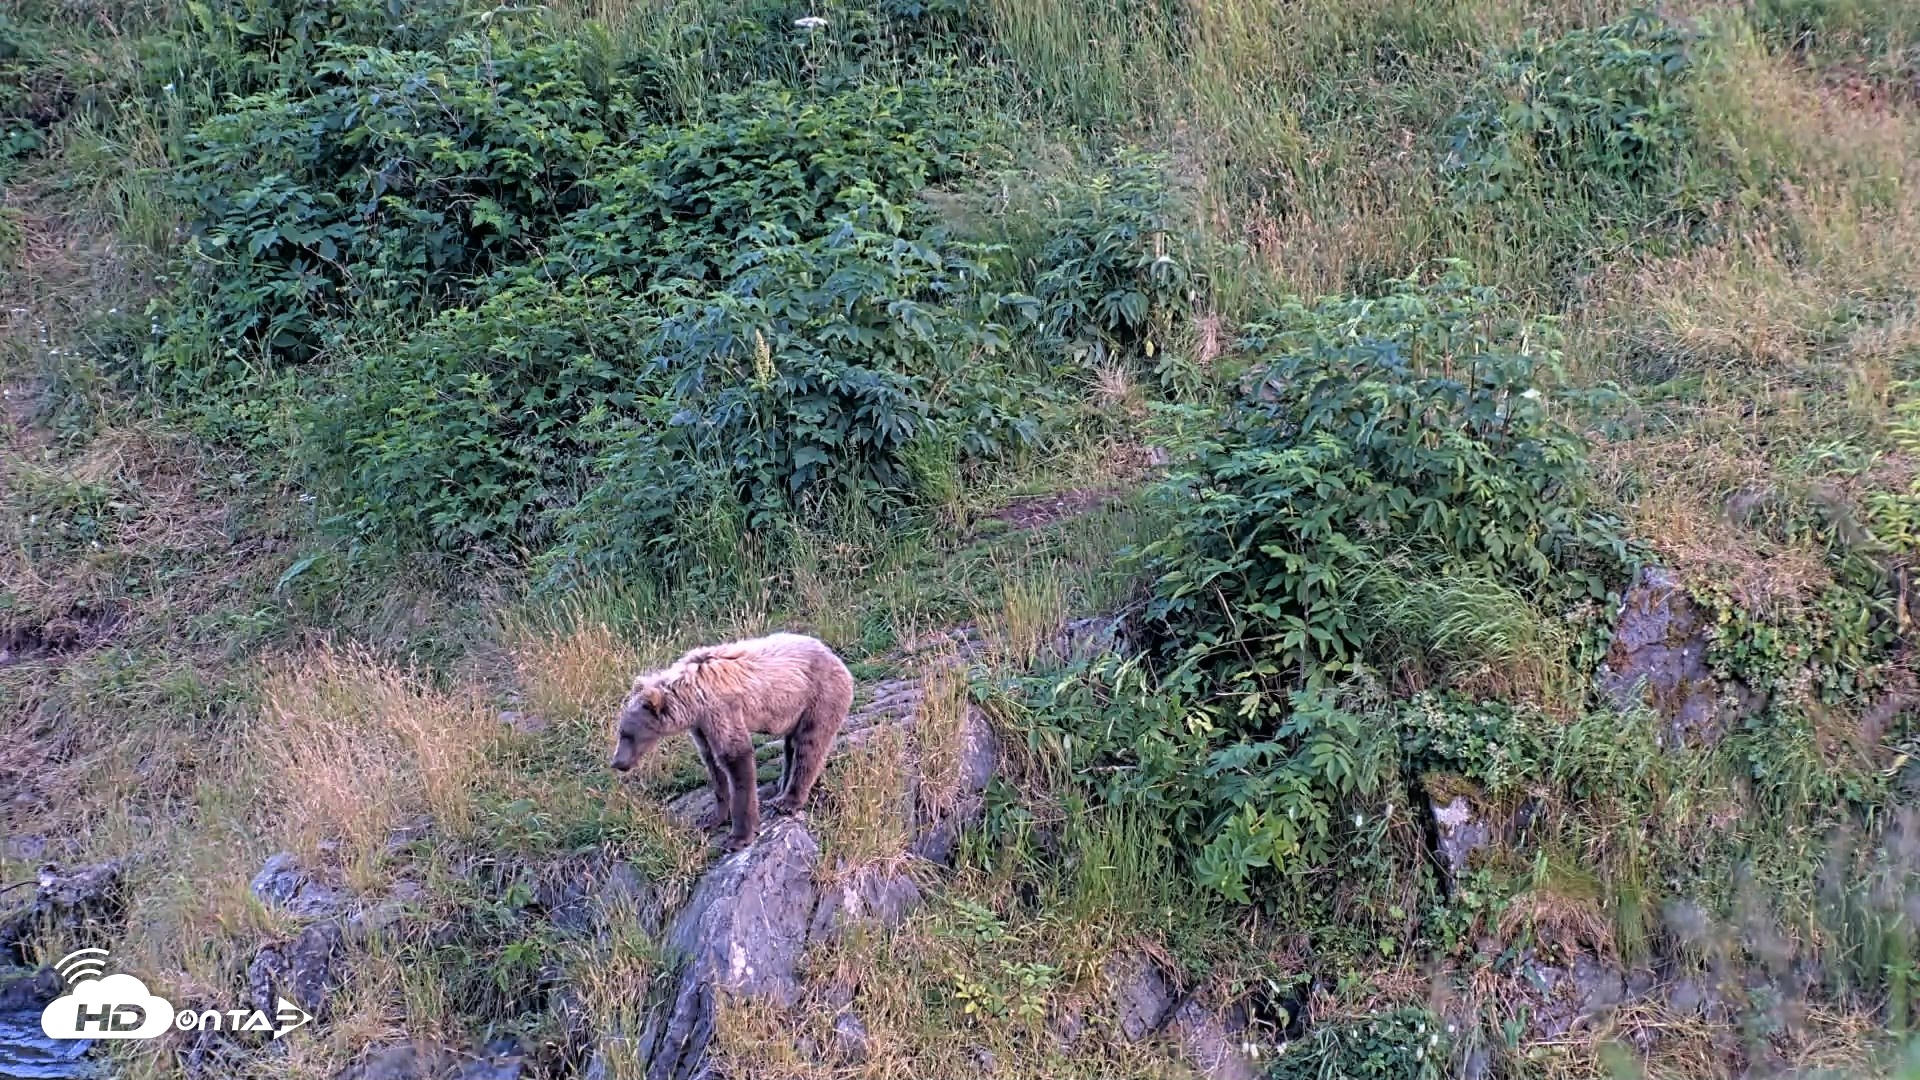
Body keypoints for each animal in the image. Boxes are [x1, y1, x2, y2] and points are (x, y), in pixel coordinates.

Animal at [610, 632, 855, 851]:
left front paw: (738, 837)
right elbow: (713, 765)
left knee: (809, 747)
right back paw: (780, 788)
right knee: (792, 747)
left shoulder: (721, 710)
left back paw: (787, 800)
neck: (690, 700)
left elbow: (736, 759)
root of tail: (836, 658)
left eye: (627, 734)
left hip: (818, 698)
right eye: (621, 732)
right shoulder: (701, 726)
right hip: (795, 709)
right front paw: (711, 818)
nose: (617, 762)